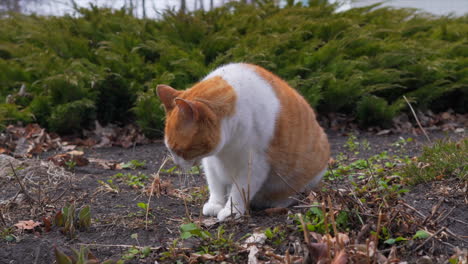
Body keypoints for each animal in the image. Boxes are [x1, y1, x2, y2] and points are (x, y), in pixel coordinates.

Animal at [157, 63, 330, 221]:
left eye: (178, 150)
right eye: (169, 149)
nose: (176, 163)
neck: (226, 147)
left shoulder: (254, 165)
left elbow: (239, 191)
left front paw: (231, 211)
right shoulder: (211, 162)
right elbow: (215, 185)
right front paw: (215, 204)